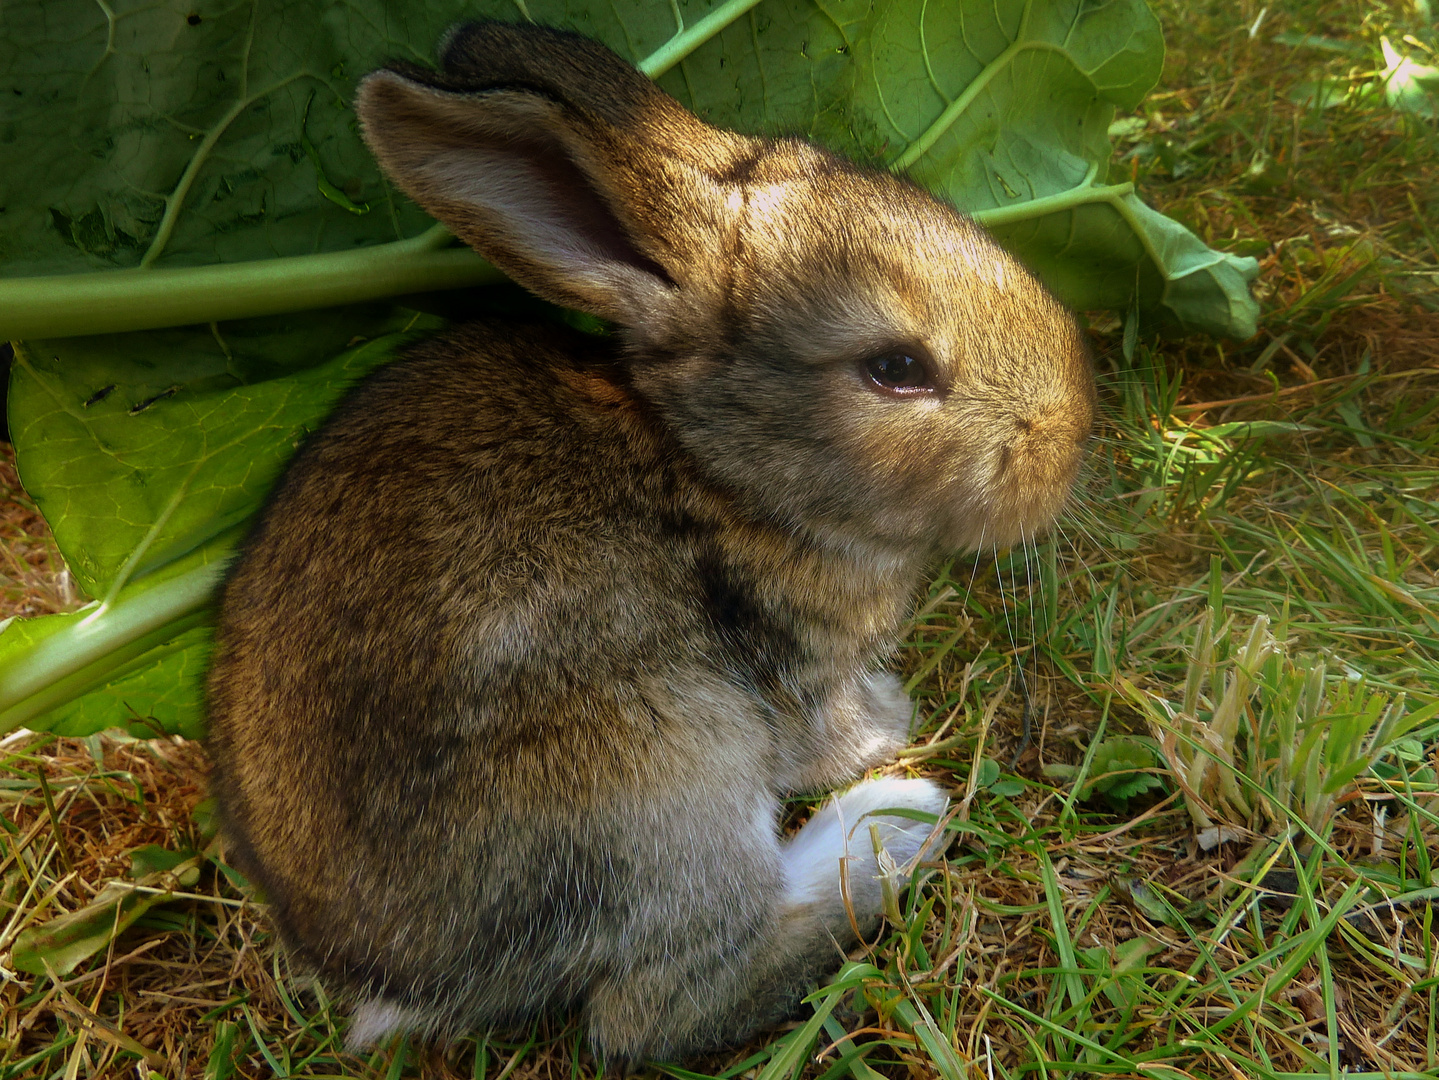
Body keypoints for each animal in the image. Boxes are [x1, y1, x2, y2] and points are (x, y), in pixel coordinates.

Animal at [208, 19, 1093, 1075]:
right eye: (895, 368)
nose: (1069, 432)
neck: (714, 470)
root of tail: (403, 983)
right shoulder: (791, 670)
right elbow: (825, 731)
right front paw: (889, 724)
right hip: (665, 770)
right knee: (656, 1008)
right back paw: (892, 828)